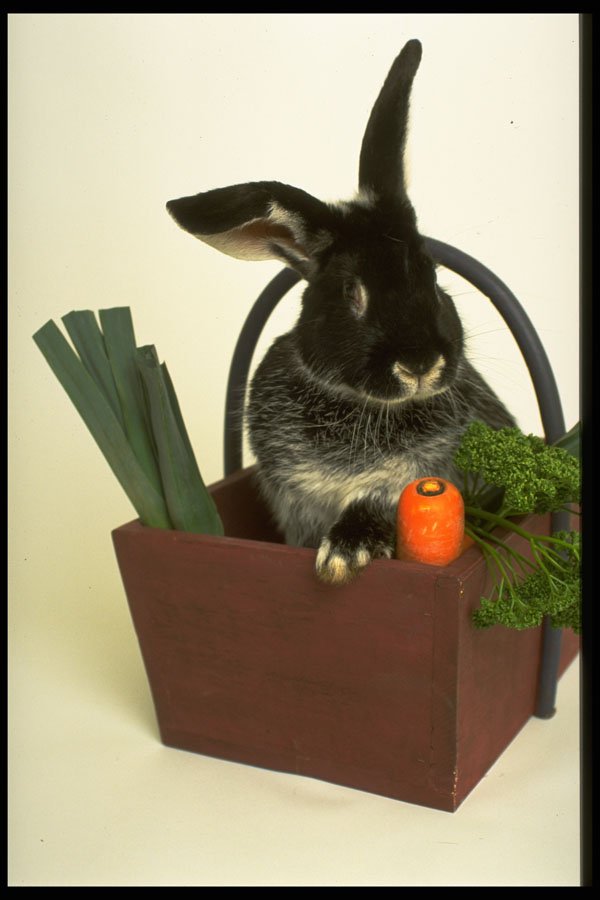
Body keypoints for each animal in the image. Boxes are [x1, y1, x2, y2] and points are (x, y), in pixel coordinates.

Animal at [166, 39, 515, 585]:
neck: (360, 406)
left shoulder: (425, 474)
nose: (420, 364)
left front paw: (344, 556)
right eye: (353, 293)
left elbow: (377, 503)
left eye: (433, 278)